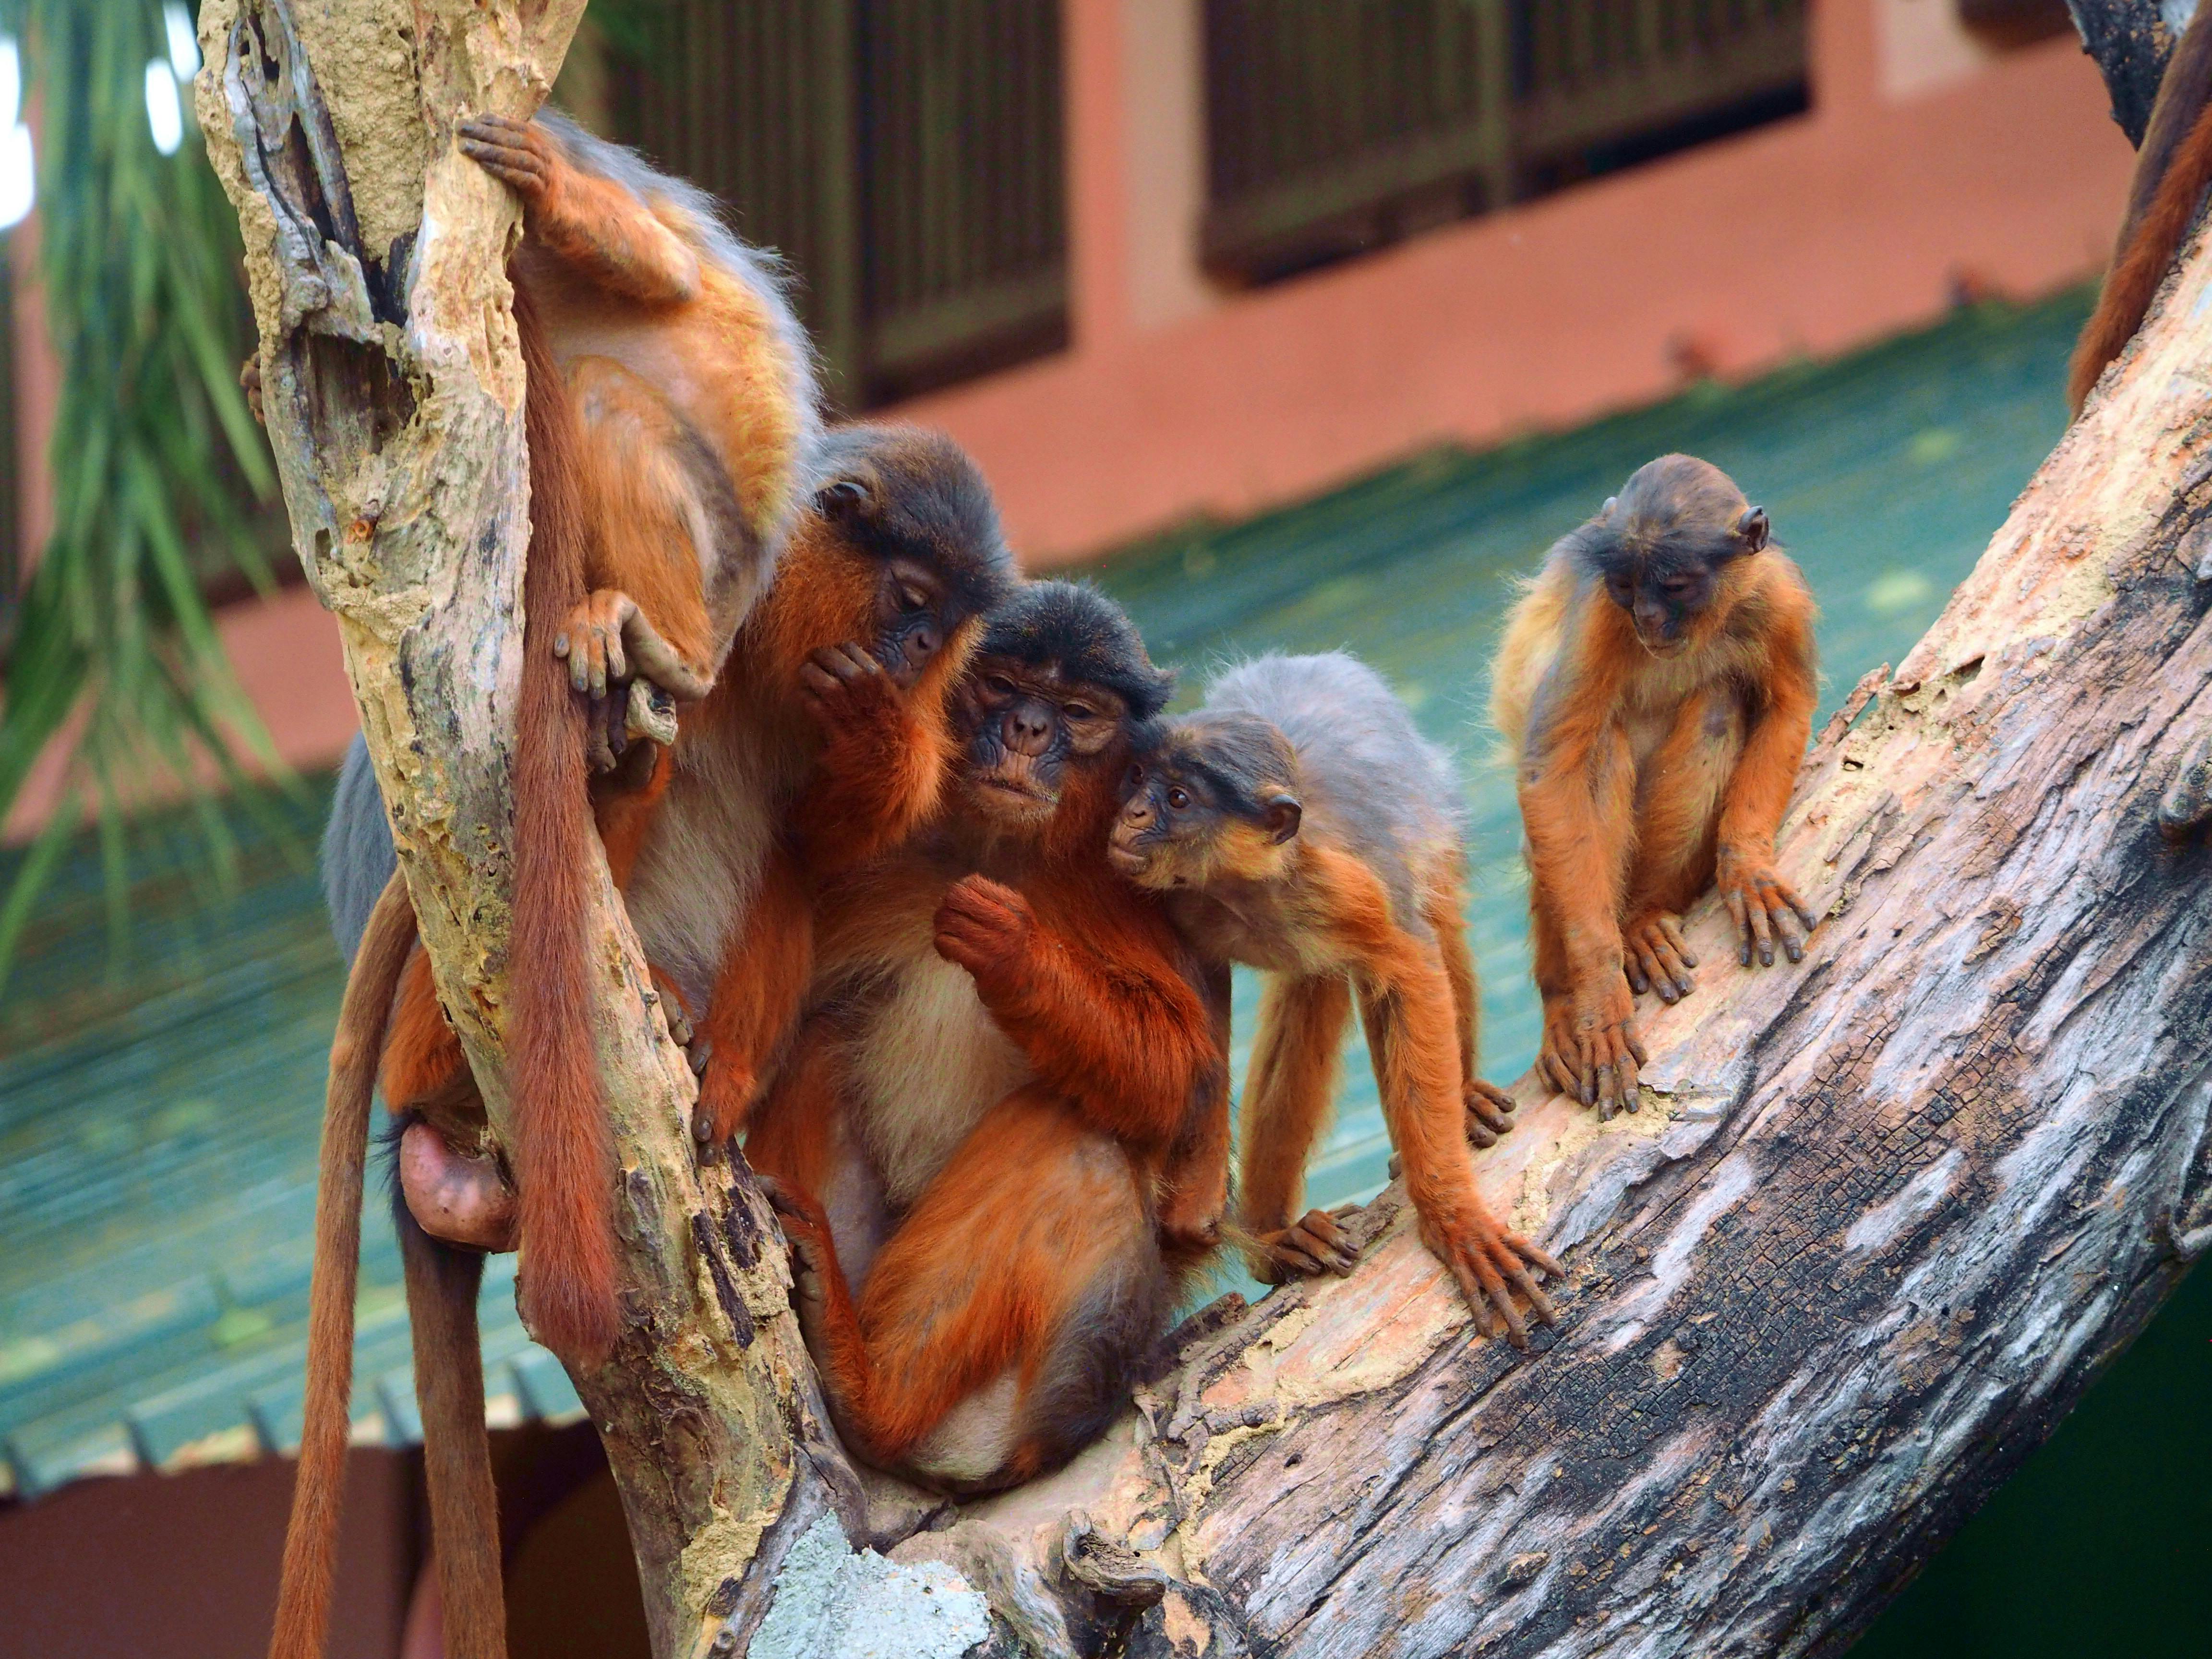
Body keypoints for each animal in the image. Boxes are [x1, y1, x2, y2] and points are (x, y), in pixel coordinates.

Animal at [744, 580, 1230, 1492]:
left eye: (1076, 712)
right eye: (1002, 687)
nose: (1027, 731)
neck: (998, 849)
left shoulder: (1132, 876)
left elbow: (1177, 1085)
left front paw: (1015, 951)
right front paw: (872, 746)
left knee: (1077, 1142)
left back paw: (873, 1399)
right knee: (823, 1041)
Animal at [1105, 652, 1560, 1345]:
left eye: (1178, 799)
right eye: (1138, 779)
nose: (1131, 813)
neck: (1244, 889)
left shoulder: (1342, 886)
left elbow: (1411, 972)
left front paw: (1453, 1219)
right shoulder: (1180, 905)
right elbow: (1204, 1000)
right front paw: (1200, 1201)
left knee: (1426, 925)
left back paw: (1459, 1098)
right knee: (1311, 992)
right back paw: (1277, 1239)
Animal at [1490, 453, 1819, 1119]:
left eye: (1674, 586)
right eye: (1628, 587)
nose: (1644, 618)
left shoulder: (1778, 595)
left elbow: (1789, 708)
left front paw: (1747, 865)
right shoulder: (1598, 611)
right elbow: (1549, 772)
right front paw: (1596, 991)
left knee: (1718, 704)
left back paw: (1643, 918)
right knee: (1596, 752)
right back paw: (1568, 994)